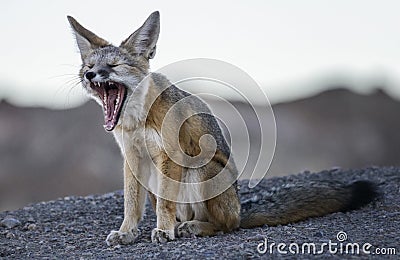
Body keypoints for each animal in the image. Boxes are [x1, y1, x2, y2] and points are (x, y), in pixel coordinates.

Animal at [67, 10, 380, 246]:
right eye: (88, 65)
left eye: (113, 66)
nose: (89, 75)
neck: (137, 121)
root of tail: (240, 210)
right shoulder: (133, 158)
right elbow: (131, 204)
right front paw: (126, 233)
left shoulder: (170, 155)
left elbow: (165, 204)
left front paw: (163, 231)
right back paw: (182, 226)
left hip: (201, 168)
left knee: (224, 226)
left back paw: (191, 228)